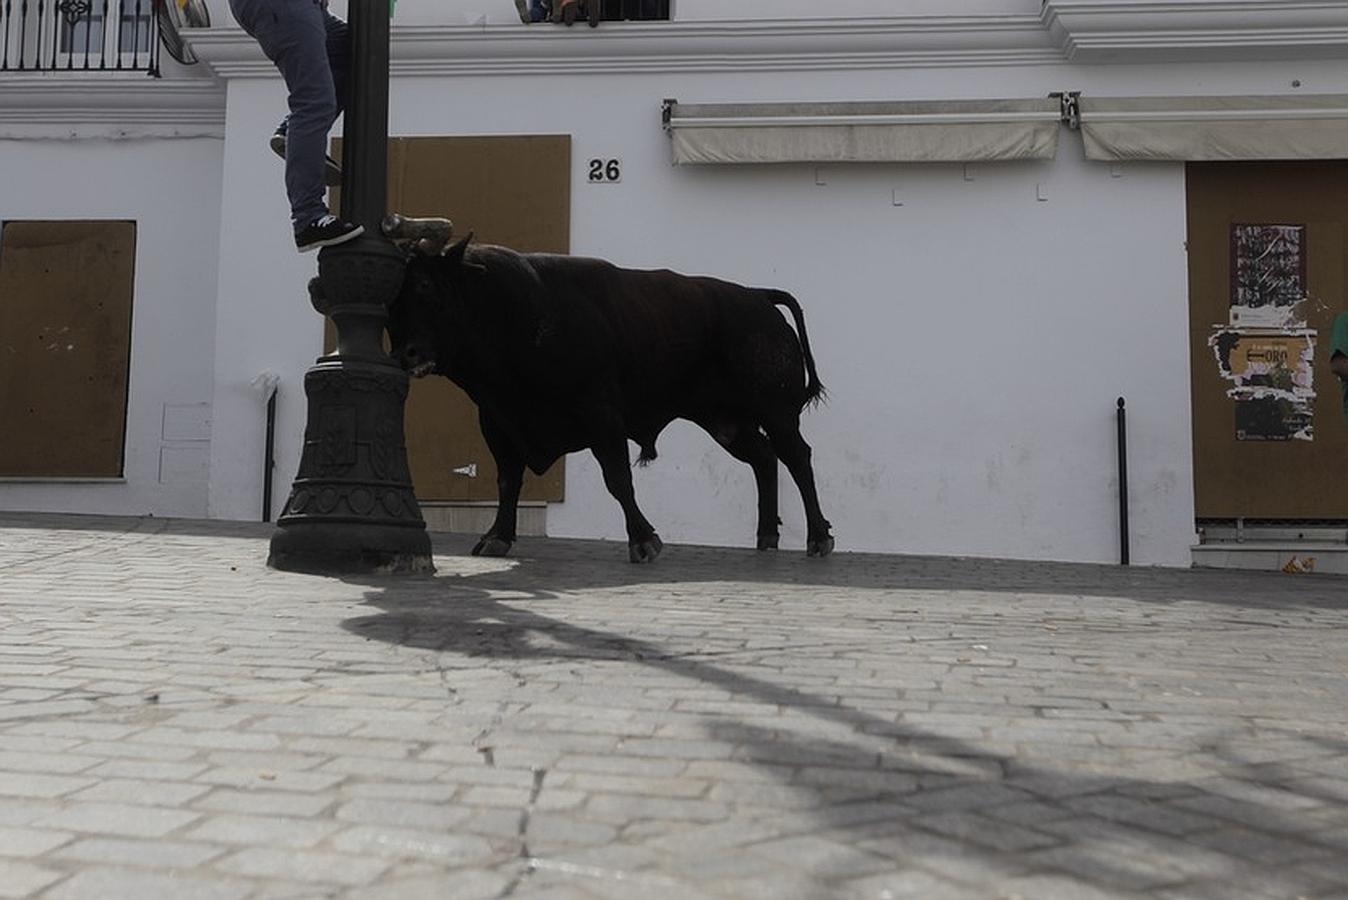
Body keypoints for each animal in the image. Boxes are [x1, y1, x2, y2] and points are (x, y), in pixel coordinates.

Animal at [385, 238, 830, 563]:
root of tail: (756, 297)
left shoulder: (601, 416)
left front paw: (644, 540)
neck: (516, 311)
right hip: (727, 423)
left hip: (777, 412)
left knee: (797, 457)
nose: (406, 354)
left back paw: (818, 537)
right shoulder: (498, 421)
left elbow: (617, 479)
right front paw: (496, 537)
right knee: (764, 458)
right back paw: (766, 536)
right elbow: (509, 481)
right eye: (392, 297)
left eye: (426, 288)